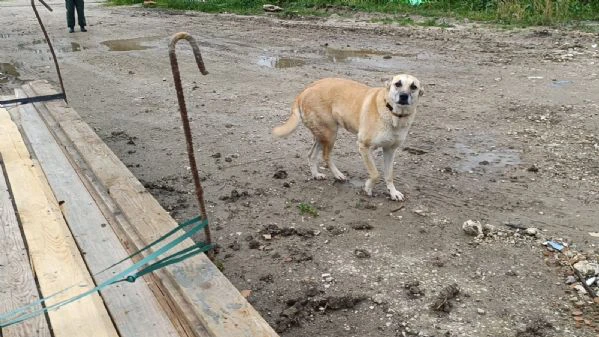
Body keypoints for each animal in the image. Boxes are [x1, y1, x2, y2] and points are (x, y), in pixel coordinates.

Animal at [274, 74, 424, 200]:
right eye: (397, 84)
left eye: (413, 87)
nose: (403, 96)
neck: (394, 115)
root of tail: (306, 90)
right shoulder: (363, 146)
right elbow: (375, 174)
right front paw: (368, 188)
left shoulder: (390, 150)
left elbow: (389, 175)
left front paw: (393, 192)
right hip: (330, 133)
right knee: (326, 156)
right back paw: (338, 175)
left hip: (322, 135)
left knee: (311, 155)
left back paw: (316, 175)